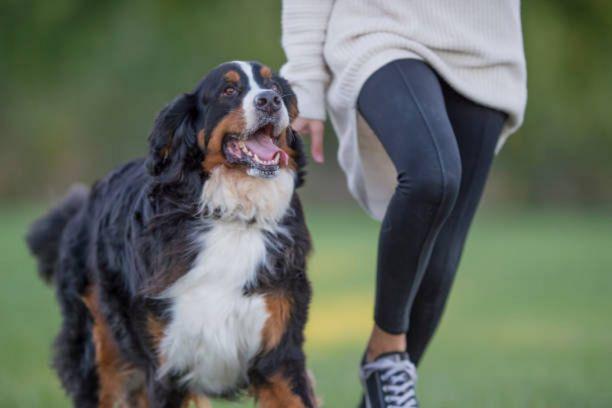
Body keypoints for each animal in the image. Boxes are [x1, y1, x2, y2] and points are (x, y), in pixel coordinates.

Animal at [26, 60, 318, 408]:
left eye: (273, 86)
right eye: (228, 90)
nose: (270, 101)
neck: (232, 217)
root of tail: (81, 207)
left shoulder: (280, 357)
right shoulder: (168, 365)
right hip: (100, 360)